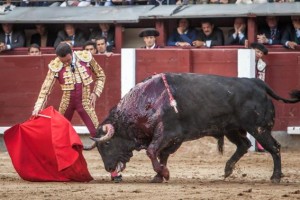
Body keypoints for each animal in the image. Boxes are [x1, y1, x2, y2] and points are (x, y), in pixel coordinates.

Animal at [85, 73, 300, 183]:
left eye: (106, 145)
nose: (108, 168)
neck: (146, 102)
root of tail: (259, 83)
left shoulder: (168, 133)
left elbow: (153, 151)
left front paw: (164, 174)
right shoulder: (171, 138)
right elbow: (162, 154)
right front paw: (159, 175)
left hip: (259, 128)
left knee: (274, 148)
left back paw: (275, 177)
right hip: (232, 129)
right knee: (244, 145)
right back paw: (228, 170)